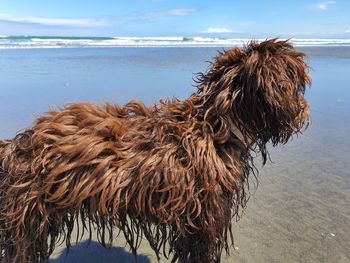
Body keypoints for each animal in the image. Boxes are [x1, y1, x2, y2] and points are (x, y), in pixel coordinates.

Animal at [0, 39, 312, 263]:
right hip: (27, 219)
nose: (304, 111)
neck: (215, 125)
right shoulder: (205, 219)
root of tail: (19, 143)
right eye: (296, 82)